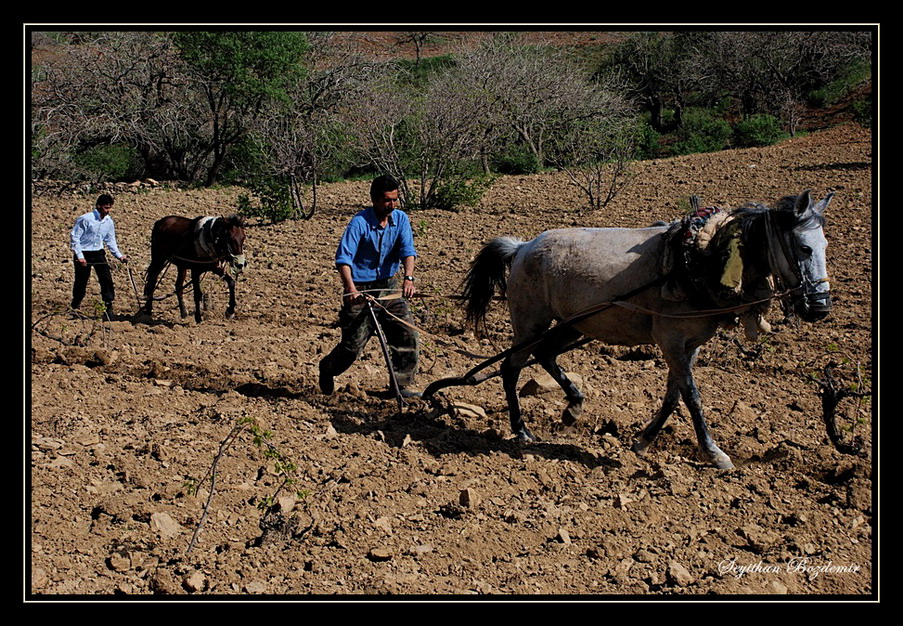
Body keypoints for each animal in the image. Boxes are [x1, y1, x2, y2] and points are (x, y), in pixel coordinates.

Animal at [462, 190, 836, 468]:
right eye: (804, 247)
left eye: (825, 246)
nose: (820, 308)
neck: (700, 257)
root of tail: (522, 247)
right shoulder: (670, 341)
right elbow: (692, 396)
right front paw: (714, 452)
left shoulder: (690, 345)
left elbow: (673, 395)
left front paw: (643, 441)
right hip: (530, 323)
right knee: (510, 368)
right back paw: (521, 429)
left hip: (574, 323)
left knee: (545, 354)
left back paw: (574, 406)